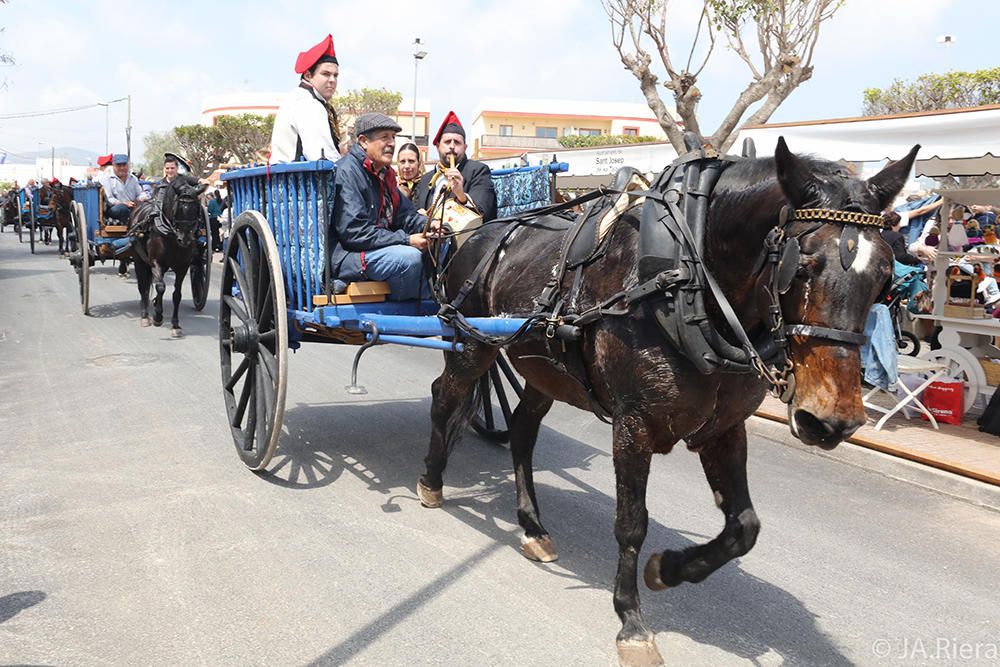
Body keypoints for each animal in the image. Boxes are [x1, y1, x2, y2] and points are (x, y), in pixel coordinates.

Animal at [130, 175, 208, 336]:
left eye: (196, 209)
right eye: (178, 208)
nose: (185, 239)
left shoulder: (183, 266)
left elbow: (176, 295)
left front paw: (175, 325)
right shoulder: (155, 262)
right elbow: (160, 287)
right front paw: (157, 317)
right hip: (139, 259)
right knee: (143, 286)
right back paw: (145, 315)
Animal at [416, 138, 920, 664]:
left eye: (885, 274)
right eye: (801, 267)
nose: (832, 420)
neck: (686, 280)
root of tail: (480, 231)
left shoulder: (724, 427)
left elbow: (744, 527)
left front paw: (671, 570)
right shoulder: (633, 424)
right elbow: (631, 523)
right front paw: (632, 621)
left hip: (543, 368)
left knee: (521, 430)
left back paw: (532, 527)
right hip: (472, 345)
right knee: (444, 397)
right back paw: (431, 481)